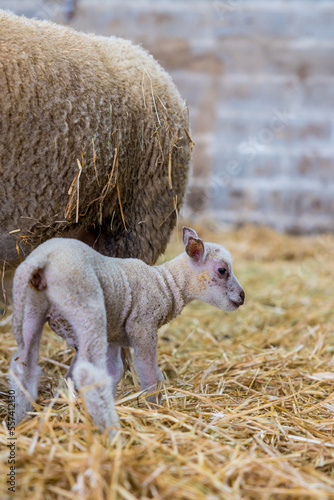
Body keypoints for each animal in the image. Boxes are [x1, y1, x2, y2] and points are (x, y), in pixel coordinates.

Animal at [9, 227, 245, 438]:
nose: (242, 296)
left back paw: (21, 421)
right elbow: (150, 372)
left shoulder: (114, 338)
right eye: (222, 270)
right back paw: (112, 432)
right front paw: (154, 409)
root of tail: (43, 259)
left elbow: (115, 372)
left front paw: (116, 401)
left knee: (23, 366)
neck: (166, 285)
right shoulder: (143, 327)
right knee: (88, 374)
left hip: (30, 307)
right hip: (85, 306)